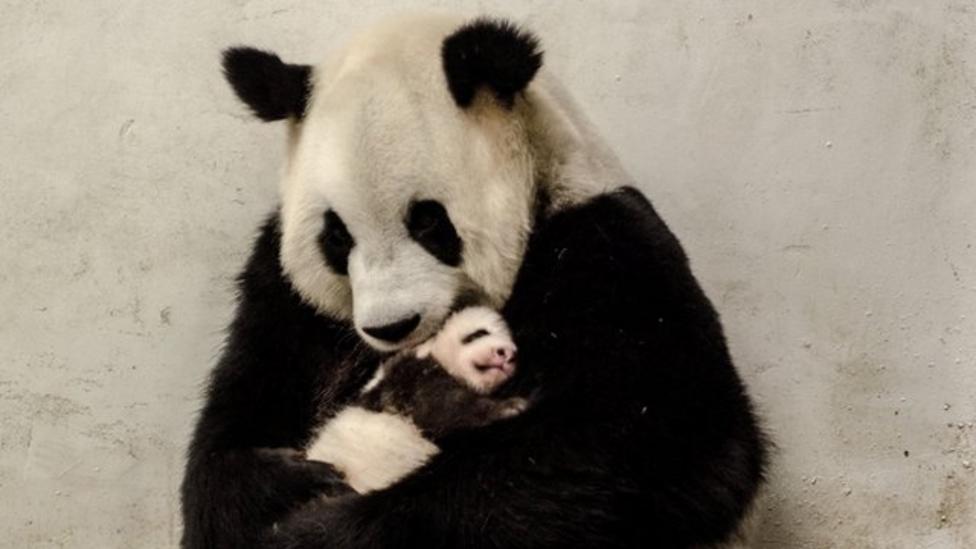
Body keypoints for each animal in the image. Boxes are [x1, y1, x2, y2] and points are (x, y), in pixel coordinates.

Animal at [179, 12, 768, 548]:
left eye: (427, 221)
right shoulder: (288, 299)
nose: (392, 327)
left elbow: (654, 435)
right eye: (337, 236)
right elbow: (237, 421)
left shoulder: (610, 248)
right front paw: (275, 488)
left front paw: (317, 532)